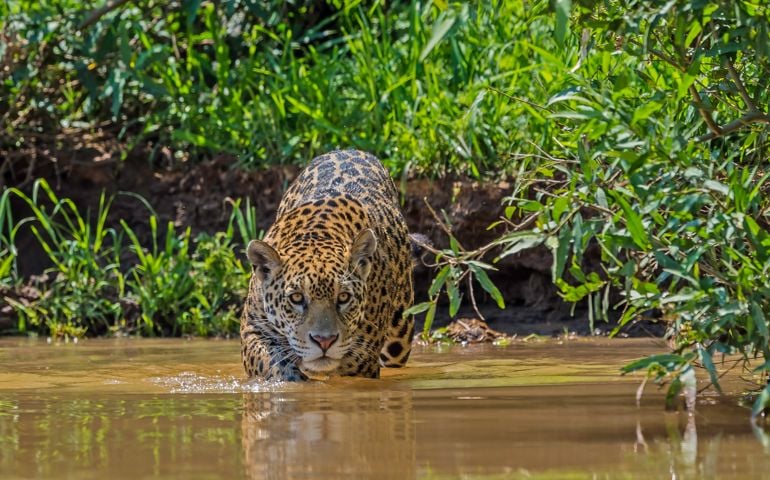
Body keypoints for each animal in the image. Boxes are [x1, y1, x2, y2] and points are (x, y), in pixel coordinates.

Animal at [240, 150, 415, 381]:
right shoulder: (253, 329)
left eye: (344, 297)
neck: (316, 234)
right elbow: (271, 361)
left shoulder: (361, 358)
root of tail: (349, 149)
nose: (324, 341)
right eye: (296, 298)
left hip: (400, 336)